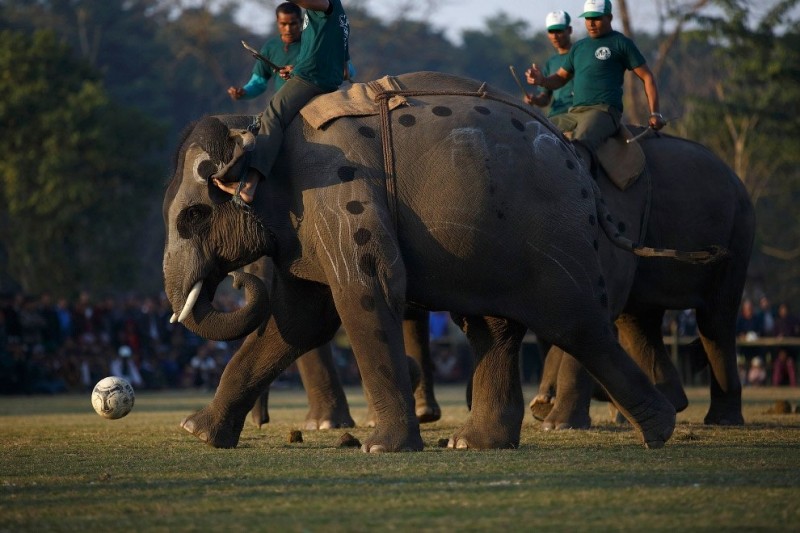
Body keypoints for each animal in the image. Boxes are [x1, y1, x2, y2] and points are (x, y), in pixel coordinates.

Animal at [162, 70, 712, 450]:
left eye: (192, 216)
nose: (238, 283)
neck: (260, 131)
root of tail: (574, 159)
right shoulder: (308, 224)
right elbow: (299, 320)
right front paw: (197, 433)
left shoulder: (342, 194)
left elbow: (366, 291)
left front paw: (381, 450)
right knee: (493, 326)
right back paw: (476, 443)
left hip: (555, 234)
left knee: (577, 323)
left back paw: (658, 430)